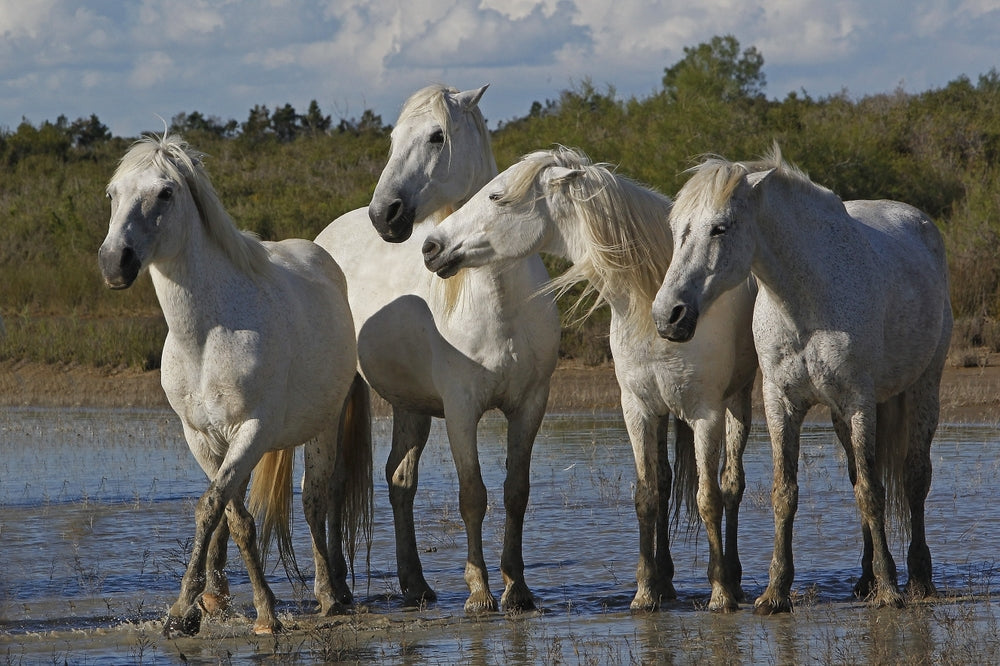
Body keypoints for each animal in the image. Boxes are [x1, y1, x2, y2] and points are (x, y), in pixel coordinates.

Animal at [98, 133, 373, 637]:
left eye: (165, 192)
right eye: (112, 193)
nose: (114, 263)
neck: (207, 337)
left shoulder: (252, 429)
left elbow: (214, 507)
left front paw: (214, 611)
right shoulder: (201, 436)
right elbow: (229, 512)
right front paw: (203, 605)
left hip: (321, 427)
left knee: (316, 500)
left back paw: (330, 593)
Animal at [314, 85, 561, 613]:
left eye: (436, 136)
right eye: (391, 140)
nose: (385, 214)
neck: (499, 302)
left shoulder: (530, 404)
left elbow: (516, 492)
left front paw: (518, 589)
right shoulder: (462, 409)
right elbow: (473, 495)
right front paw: (480, 593)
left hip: (411, 407)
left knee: (396, 482)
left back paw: (411, 585)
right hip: (342, 398)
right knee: (330, 485)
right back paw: (334, 590)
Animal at [421, 146, 759, 611]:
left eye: (496, 196)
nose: (431, 247)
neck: (654, 303)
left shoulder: (706, 414)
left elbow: (708, 498)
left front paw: (721, 594)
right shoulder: (637, 408)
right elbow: (646, 495)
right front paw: (645, 592)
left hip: (736, 403)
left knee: (730, 486)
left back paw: (734, 579)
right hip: (664, 414)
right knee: (667, 481)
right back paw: (667, 582)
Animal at [653, 147, 953, 613]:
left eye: (720, 227)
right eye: (676, 229)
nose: (669, 315)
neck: (806, 301)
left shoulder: (859, 402)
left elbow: (873, 493)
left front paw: (889, 589)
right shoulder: (782, 403)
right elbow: (786, 492)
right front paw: (776, 592)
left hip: (923, 388)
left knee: (913, 478)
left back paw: (918, 578)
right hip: (841, 416)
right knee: (860, 477)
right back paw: (864, 579)